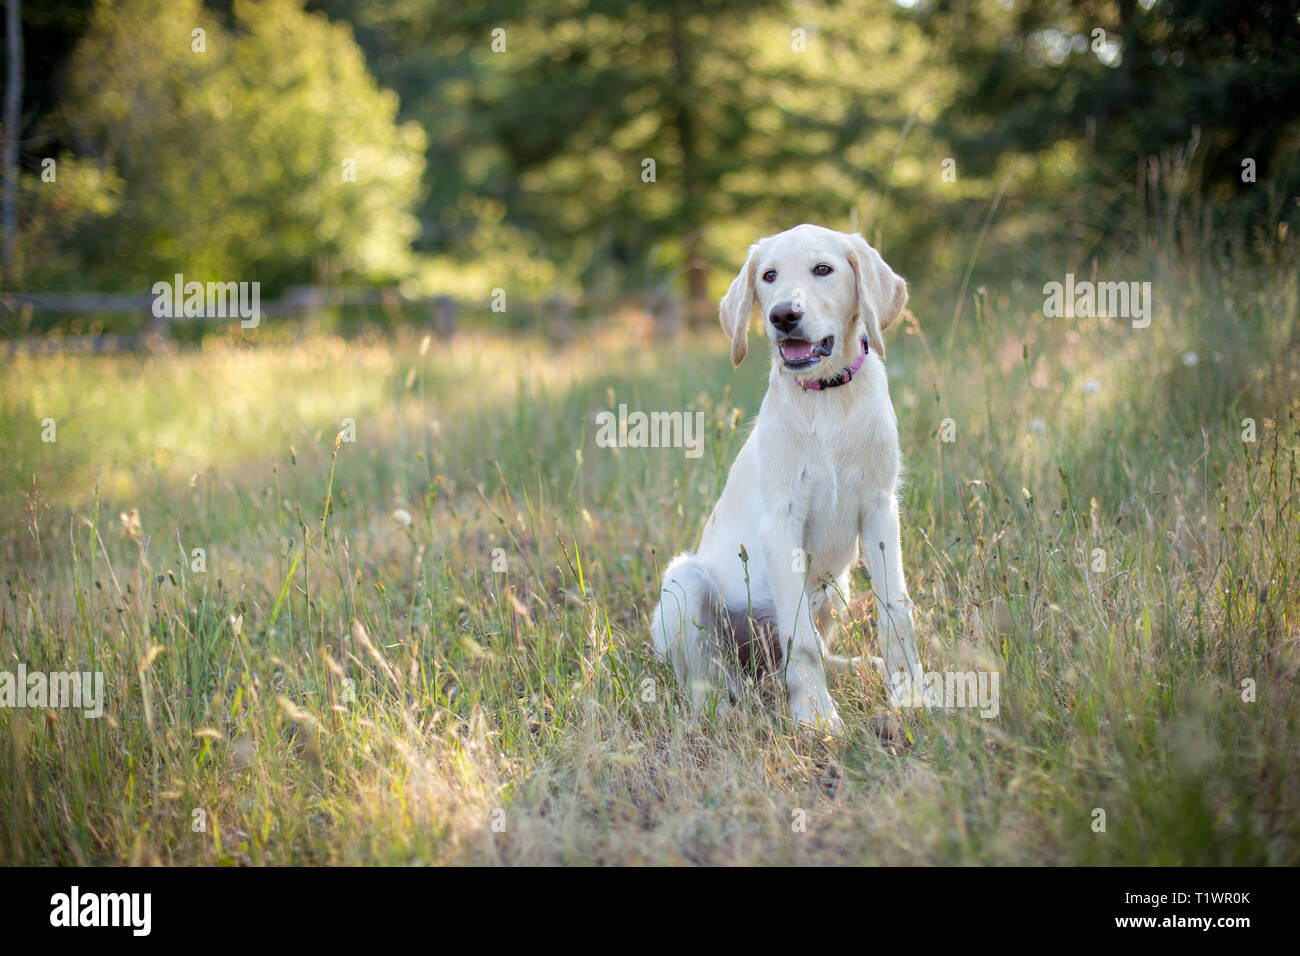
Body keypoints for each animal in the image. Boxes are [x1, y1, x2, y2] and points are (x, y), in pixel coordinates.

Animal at [650, 223, 925, 733]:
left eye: (823, 269)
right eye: (769, 276)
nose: (783, 315)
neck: (828, 397)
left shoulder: (880, 509)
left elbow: (895, 611)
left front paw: (913, 695)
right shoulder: (782, 523)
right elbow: (802, 643)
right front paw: (816, 716)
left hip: (835, 589)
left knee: (802, 653)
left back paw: (854, 667)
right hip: (685, 583)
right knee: (710, 672)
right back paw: (722, 707)